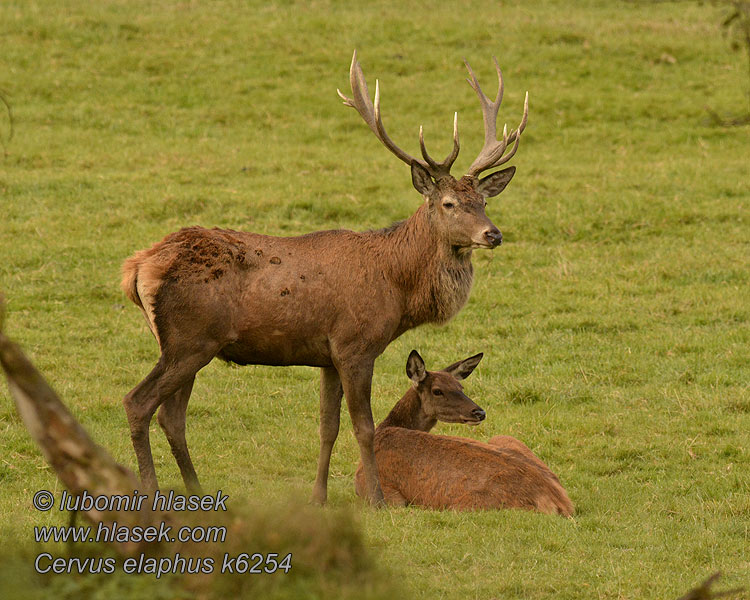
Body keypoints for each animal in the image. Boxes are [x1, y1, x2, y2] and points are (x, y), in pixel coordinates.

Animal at [122, 49, 528, 504]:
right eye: (449, 204)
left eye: (484, 201)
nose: (492, 234)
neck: (397, 287)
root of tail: (137, 267)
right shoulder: (356, 346)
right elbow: (364, 428)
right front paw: (377, 500)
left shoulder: (327, 355)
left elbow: (327, 428)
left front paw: (319, 496)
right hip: (189, 339)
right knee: (138, 402)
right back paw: (150, 488)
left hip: (188, 344)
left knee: (172, 416)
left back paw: (195, 488)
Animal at [358, 352, 576, 516]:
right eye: (437, 390)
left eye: (460, 387)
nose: (479, 412)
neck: (385, 428)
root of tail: (562, 503)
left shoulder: (380, 491)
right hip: (504, 438)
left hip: (466, 505)